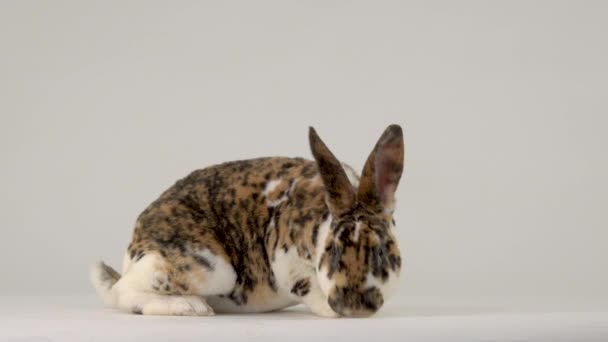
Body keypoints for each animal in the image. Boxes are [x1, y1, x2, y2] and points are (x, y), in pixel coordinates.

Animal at [91, 125, 404, 318]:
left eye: (380, 252)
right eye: (333, 251)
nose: (353, 306)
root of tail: (134, 247)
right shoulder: (285, 258)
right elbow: (308, 287)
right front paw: (329, 310)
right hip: (213, 268)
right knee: (122, 291)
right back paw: (190, 306)